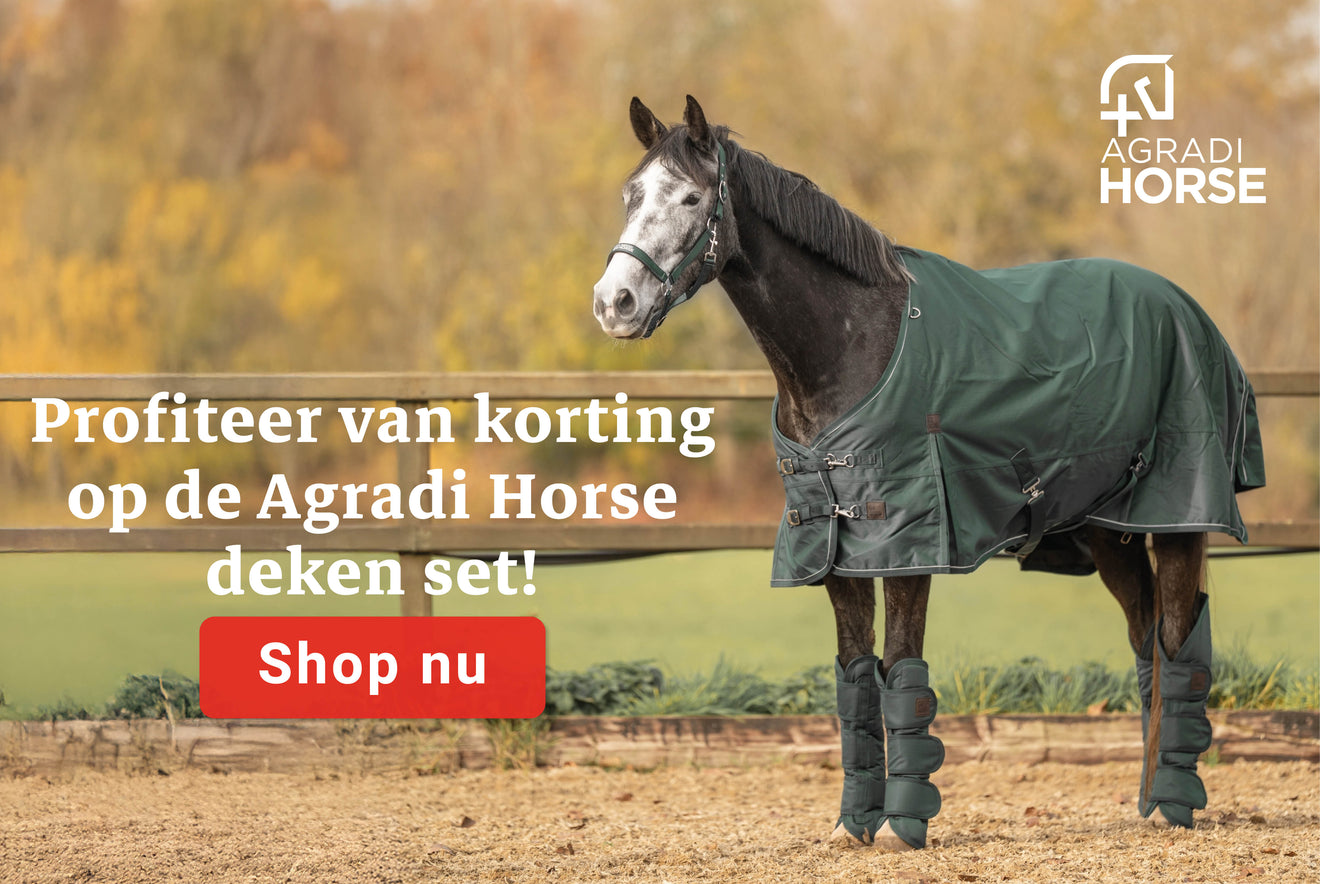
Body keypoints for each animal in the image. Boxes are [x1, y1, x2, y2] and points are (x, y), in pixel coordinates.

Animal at [592, 96, 1265, 852]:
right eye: (630, 195)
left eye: (690, 197)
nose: (613, 303)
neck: (852, 345)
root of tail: (1186, 309)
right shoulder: (834, 549)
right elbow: (856, 680)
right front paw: (853, 824)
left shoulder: (908, 542)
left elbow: (901, 673)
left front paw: (902, 825)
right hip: (1108, 530)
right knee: (1146, 641)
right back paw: (1147, 803)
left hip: (1176, 517)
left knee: (1178, 643)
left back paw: (1174, 806)